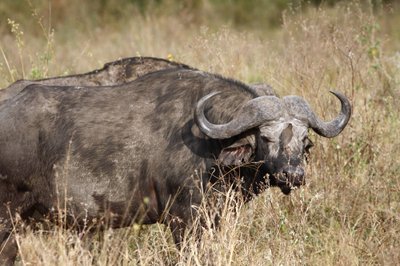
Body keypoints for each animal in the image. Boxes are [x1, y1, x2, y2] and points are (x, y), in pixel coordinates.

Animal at [0, 66, 350, 264]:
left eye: (304, 139)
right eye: (265, 137)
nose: (293, 174)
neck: (211, 147)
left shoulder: (212, 219)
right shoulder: (185, 220)